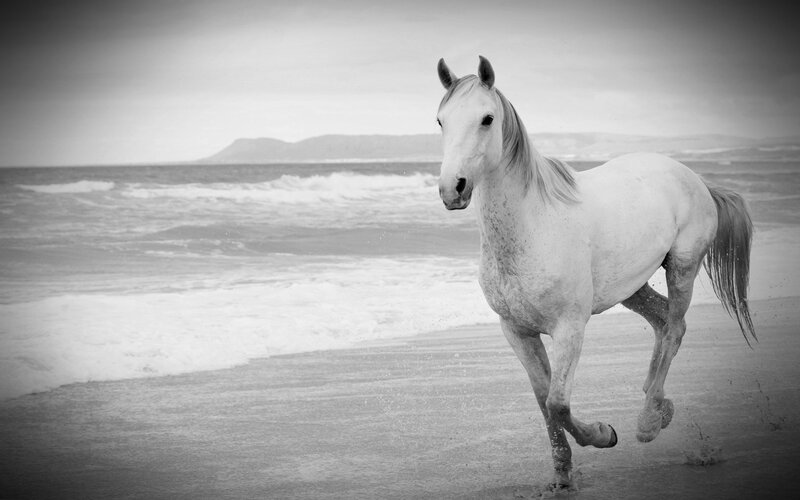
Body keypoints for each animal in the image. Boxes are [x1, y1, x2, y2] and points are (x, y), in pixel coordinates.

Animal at [435, 56, 755, 489]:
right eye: (441, 120)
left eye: (487, 118)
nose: (453, 188)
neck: (534, 225)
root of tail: (693, 177)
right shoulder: (516, 331)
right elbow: (543, 401)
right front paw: (562, 475)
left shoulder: (570, 327)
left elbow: (557, 402)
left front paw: (604, 435)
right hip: (632, 286)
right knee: (663, 323)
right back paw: (658, 404)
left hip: (683, 267)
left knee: (674, 327)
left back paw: (648, 421)